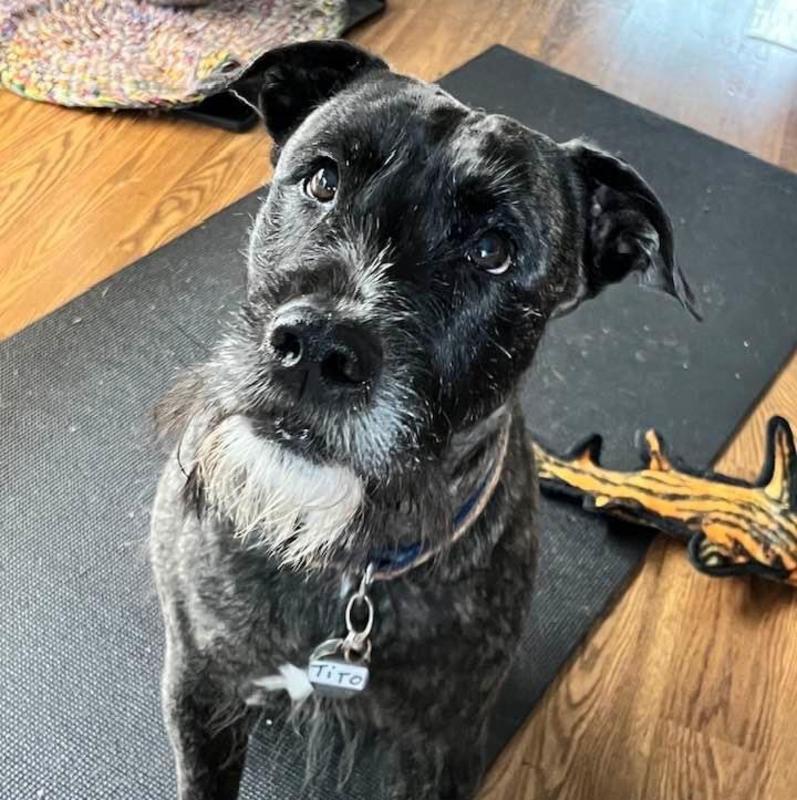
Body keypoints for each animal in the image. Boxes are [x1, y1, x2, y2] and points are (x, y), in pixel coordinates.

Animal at [148, 39, 692, 800]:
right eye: (322, 180)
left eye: (492, 251)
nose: (319, 347)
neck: (344, 564)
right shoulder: (201, 690)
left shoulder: (442, 749)